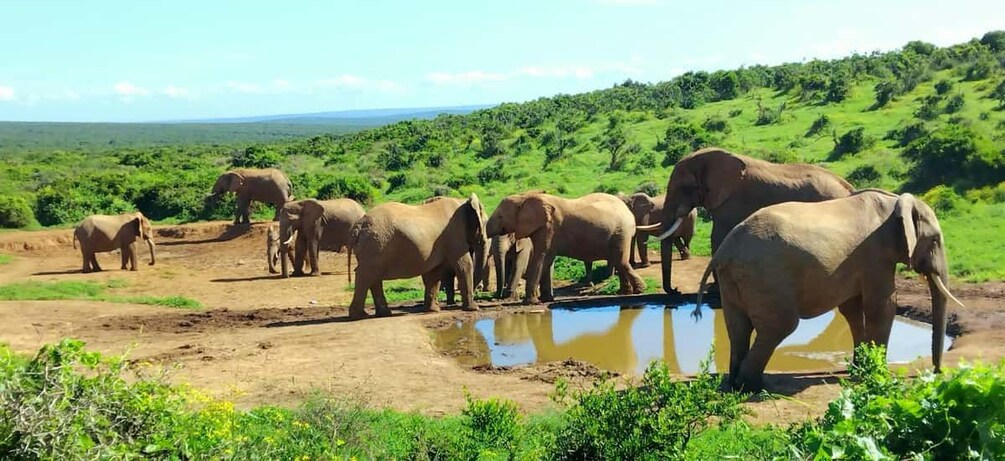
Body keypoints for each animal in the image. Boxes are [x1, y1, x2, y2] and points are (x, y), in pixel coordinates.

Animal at [348, 194, 487, 319]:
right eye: (485, 223)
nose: (479, 290)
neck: (463, 201)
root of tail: (358, 226)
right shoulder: (455, 235)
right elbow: (464, 265)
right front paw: (473, 308)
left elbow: (435, 273)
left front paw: (433, 310)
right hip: (375, 245)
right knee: (366, 275)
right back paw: (359, 316)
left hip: (374, 247)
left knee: (373, 277)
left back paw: (384, 314)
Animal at [486, 192, 646, 304]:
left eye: (500, 216)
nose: (498, 297)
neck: (524, 197)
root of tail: (629, 212)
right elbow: (547, 259)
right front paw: (545, 300)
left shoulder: (549, 227)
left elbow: (542, 257)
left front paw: (529, 302)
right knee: (619, 261)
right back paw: (625, 292)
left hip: (621, 233)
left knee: (621, 261)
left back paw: (639, 290)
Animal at [649, 147, 854, 294]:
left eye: (684, 187)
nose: (676, 290)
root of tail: (848, 187)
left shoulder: (731, 201)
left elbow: (718, 237)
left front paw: (715, 291)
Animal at [694, 189, 965, 392]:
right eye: (935, 241)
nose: (937, 371)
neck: (895, 202)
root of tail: (725, 248)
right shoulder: (876, 255)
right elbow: (882, 306)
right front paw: (877, 373)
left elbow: (853, 309)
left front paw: (860, 367)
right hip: (766, 277)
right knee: (779, 326)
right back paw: (752, 386)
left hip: (734, 280)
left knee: (738, 327)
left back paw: (736, 383)